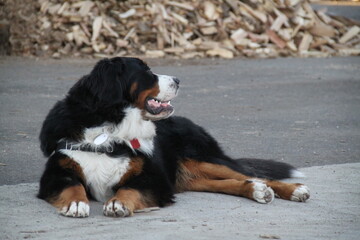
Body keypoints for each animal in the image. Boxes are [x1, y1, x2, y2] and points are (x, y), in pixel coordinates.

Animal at [38, 56, 310, 218]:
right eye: (146, 72)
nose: (178, 80)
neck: (109, 127)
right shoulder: (56, 171)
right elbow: (71, 184)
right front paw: (76, 204)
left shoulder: (153, 178)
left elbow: (129, 188)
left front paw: (117, 203)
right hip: (191, 174)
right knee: (234, 181)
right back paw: (256, 190)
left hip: (202, 158)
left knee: (252, 174)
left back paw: (293, 190)